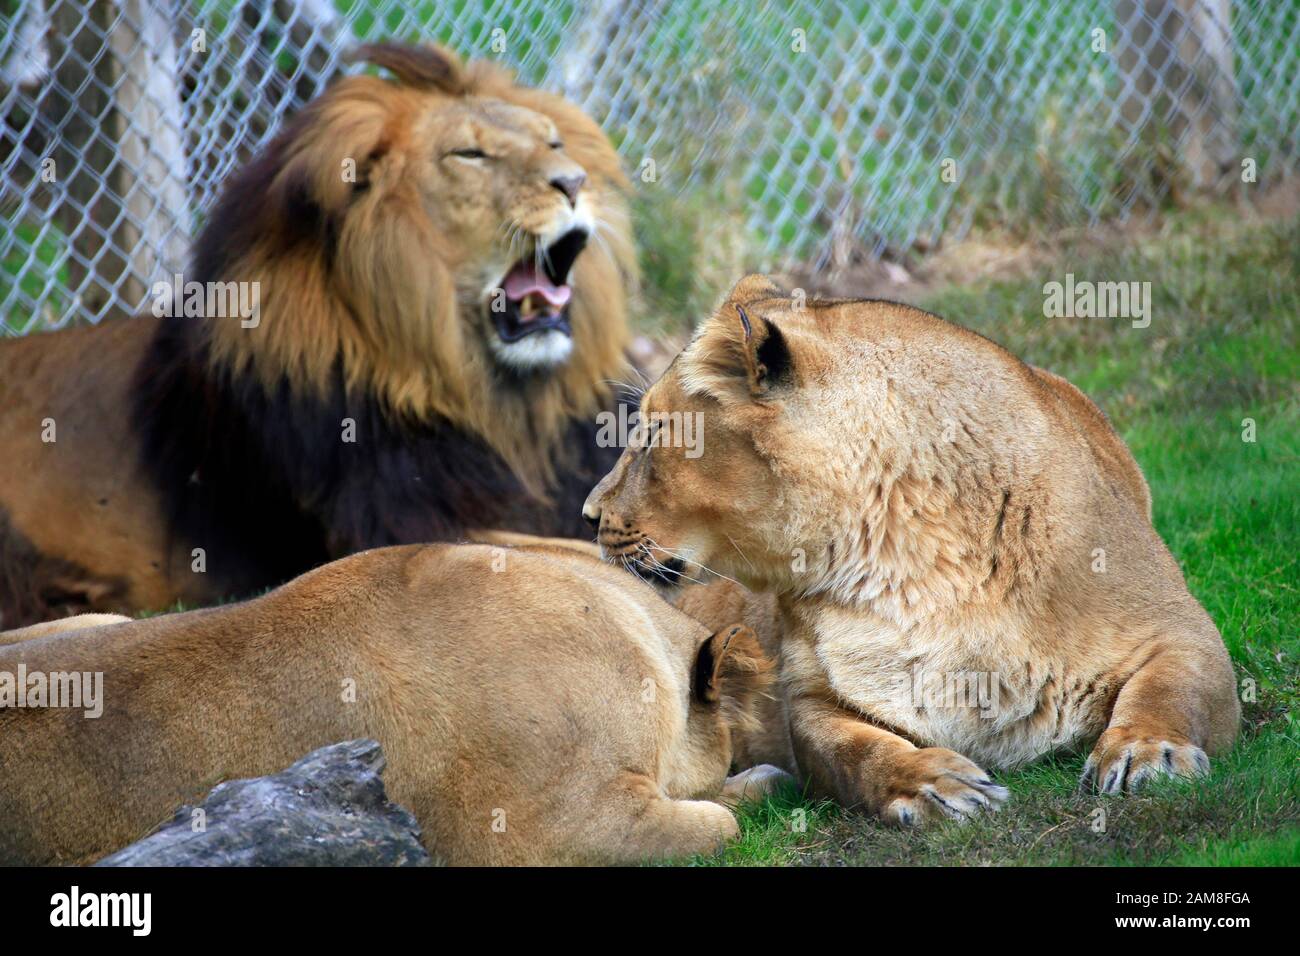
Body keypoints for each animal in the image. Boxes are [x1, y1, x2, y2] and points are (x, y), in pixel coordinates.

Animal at [0, 42, 637, 628]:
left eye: (554, 144)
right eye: (471, 154)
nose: (574, 182)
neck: (498, 406)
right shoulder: (399, 521)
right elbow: (574, 551)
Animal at [582, 274, 1239, 824]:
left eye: (651, 435)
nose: (589, 513)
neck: (913, 555)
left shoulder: (1180, 627)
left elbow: (1170, 689)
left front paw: (1146, 753)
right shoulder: (813, 700)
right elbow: (855, 752)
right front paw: (934, 786)